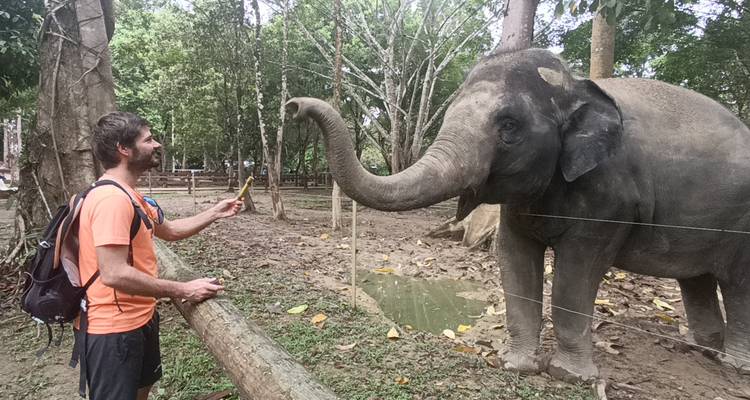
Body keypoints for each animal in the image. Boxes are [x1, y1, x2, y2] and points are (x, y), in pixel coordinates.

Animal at [286, 48, 750, 383]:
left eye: (509, 127)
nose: (293, 106)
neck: (574, 84)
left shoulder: (611, 197)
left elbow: (577, 272)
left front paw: (569, 376)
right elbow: (513, 256)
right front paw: (518, 366)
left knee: (737, 283)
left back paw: (733, 365)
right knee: (697, 279)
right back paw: (698, 349)